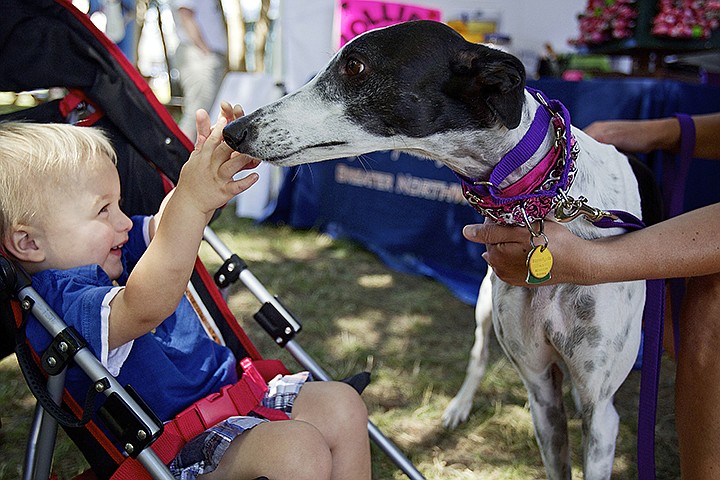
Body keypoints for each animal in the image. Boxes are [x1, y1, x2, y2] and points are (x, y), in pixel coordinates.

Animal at [222, 19, 644, 480]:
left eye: (354, 66)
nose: (232, 132)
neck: (542, 200)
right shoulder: (541, 389)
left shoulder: (599, 410)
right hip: (486, 304)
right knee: (478, 354)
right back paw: (459, 406)